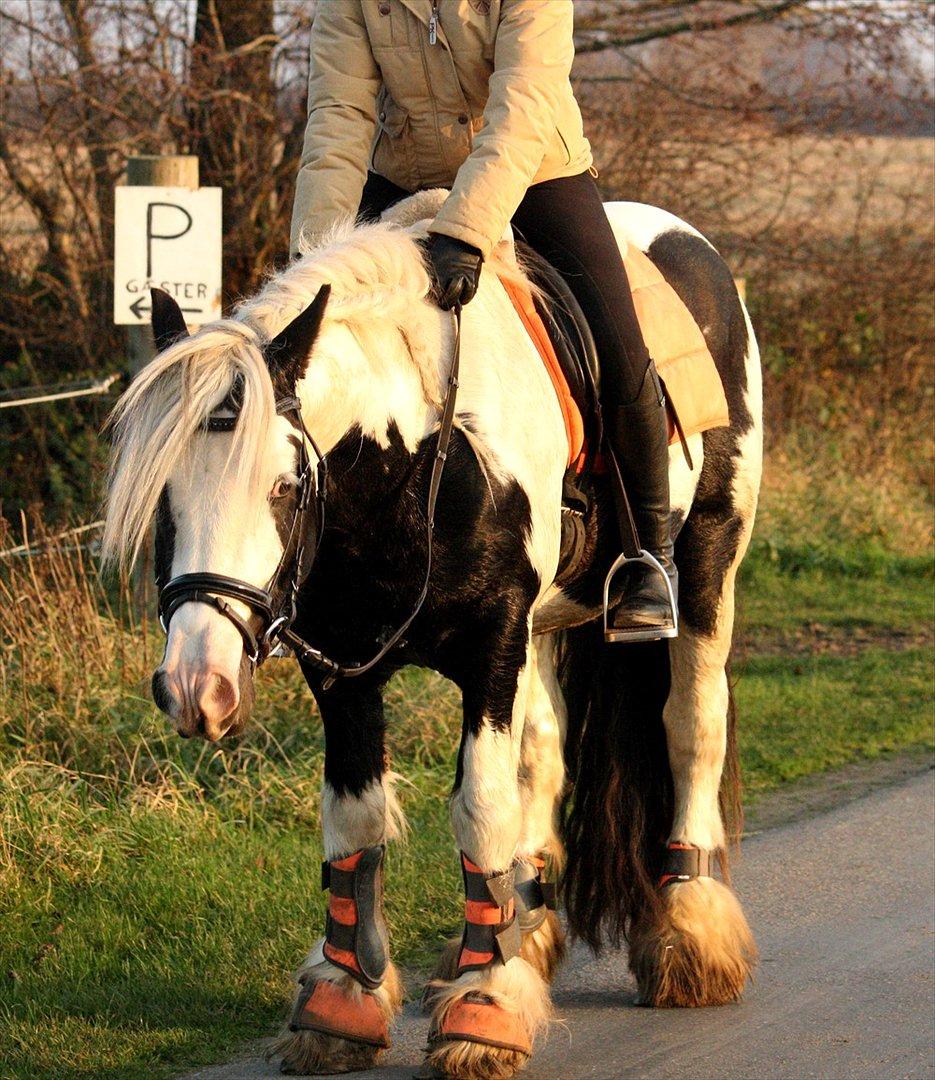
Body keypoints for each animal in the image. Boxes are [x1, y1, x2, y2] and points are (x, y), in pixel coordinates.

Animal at [103, 194, 760, 1080]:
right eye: (165, 492)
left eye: (284, 485)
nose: (193, 688)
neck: (420, 457)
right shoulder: (343, 664)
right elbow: (356, 817)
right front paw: (343, 1001)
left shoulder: (491, 643)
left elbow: (480, 807)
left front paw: (483, 1011)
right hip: (544, 628)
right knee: (543, 754)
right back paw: (528, 928)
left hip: (705, 563)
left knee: (691, 725)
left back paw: (689, 934)